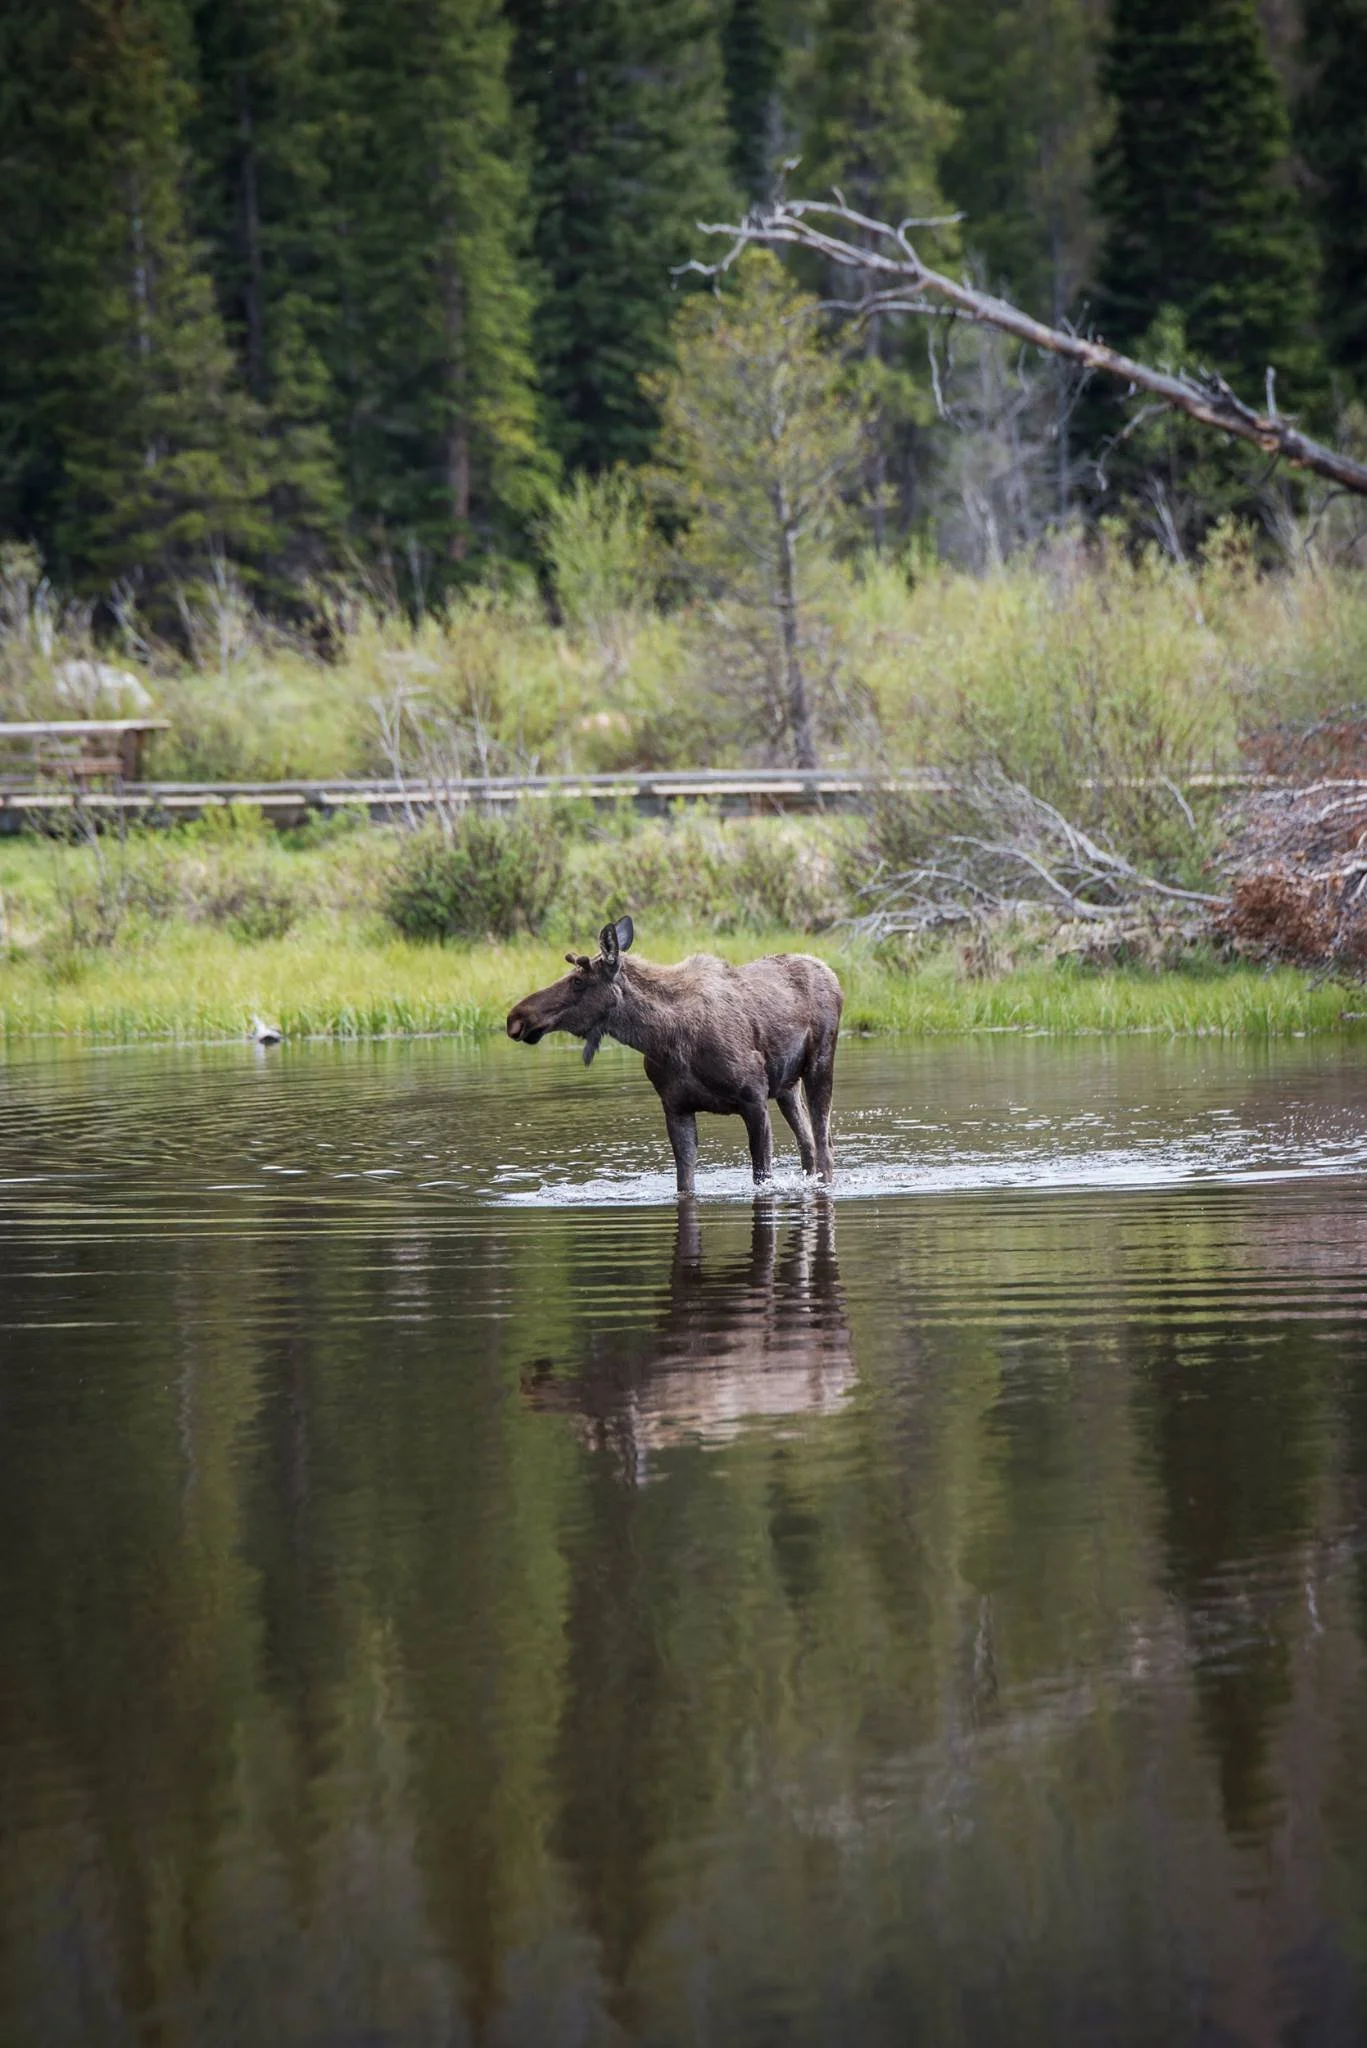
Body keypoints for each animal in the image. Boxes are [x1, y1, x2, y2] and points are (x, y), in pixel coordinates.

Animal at [505, 916, 842, 1196]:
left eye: (577, 981)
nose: (516, 1017)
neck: (664, 1040)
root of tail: (829, 971)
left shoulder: (754, 1099)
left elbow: (761, 1176)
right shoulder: (676, 1107)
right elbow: (684, 1182)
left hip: (820, 1064)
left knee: (824, 1144)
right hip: (786, 1086)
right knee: (808, 1143)